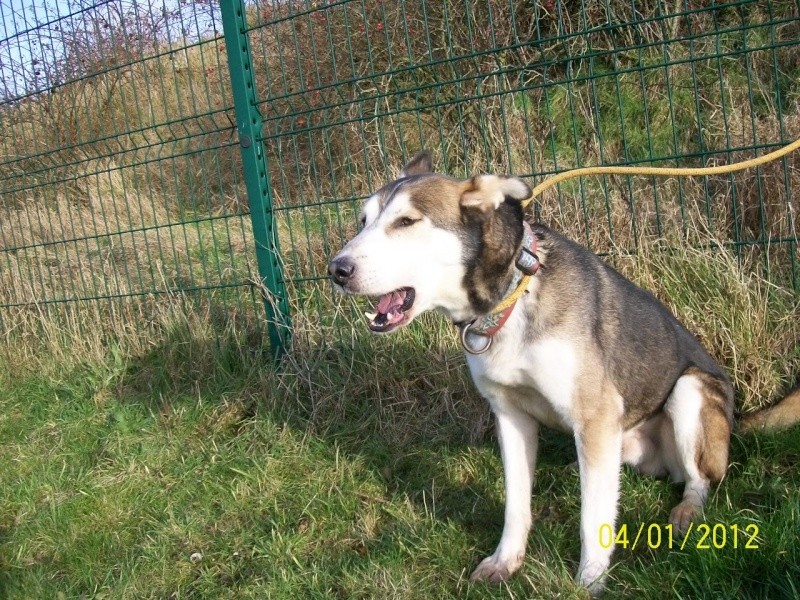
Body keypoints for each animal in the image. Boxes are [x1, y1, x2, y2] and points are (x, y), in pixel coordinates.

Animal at [326, 152, 792, 592]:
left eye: (406, 222)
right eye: (363, 221)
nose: (336, 270)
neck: (512, 295)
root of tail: (734, 420)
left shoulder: (596, 415)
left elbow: (592, 520)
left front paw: (590, 582)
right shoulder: (510, 417)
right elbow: (516, 504)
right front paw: (505, 562)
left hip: (689, 391)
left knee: (701, 479)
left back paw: (686, 510)